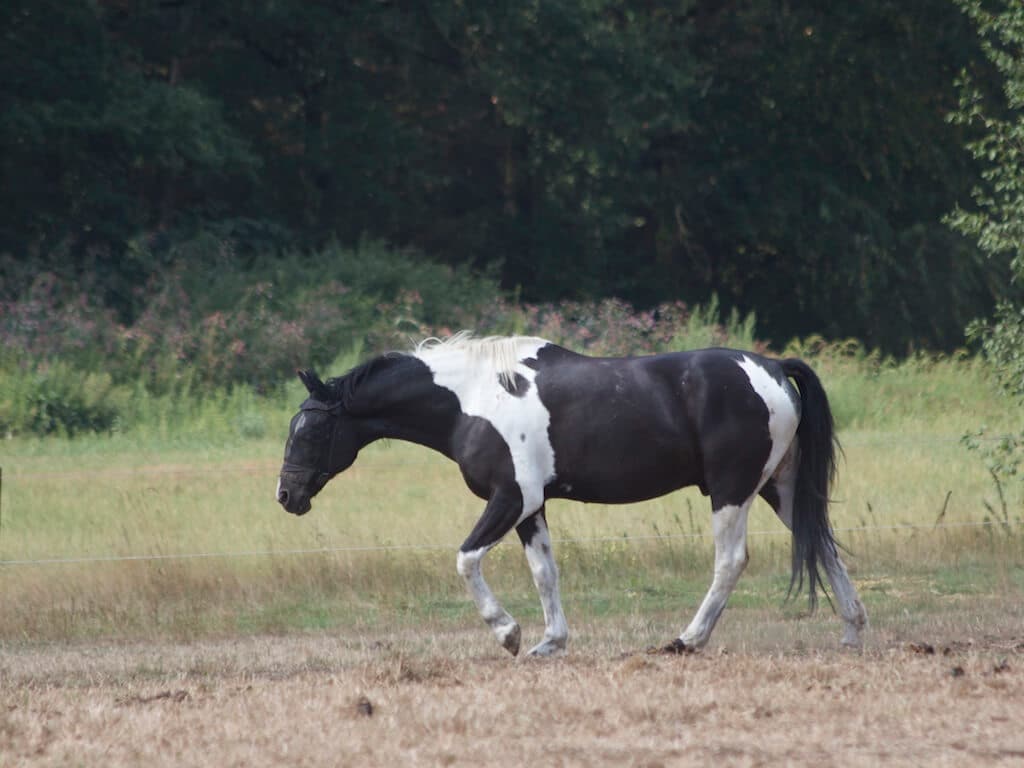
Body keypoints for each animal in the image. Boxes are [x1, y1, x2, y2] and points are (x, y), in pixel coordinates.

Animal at [276, 333, 867, 656]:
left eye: (311, 429)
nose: (287, 495)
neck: (473, 399)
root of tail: (773, 368)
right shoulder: (531, 507)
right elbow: (545, 573)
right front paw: (549, 642)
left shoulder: (509, 498)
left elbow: (466, 560)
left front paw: (508, 633)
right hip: (779, 489)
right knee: (824, 544)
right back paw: (853, 630)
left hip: (732, 491)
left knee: (731, 560)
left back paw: (686, 640)